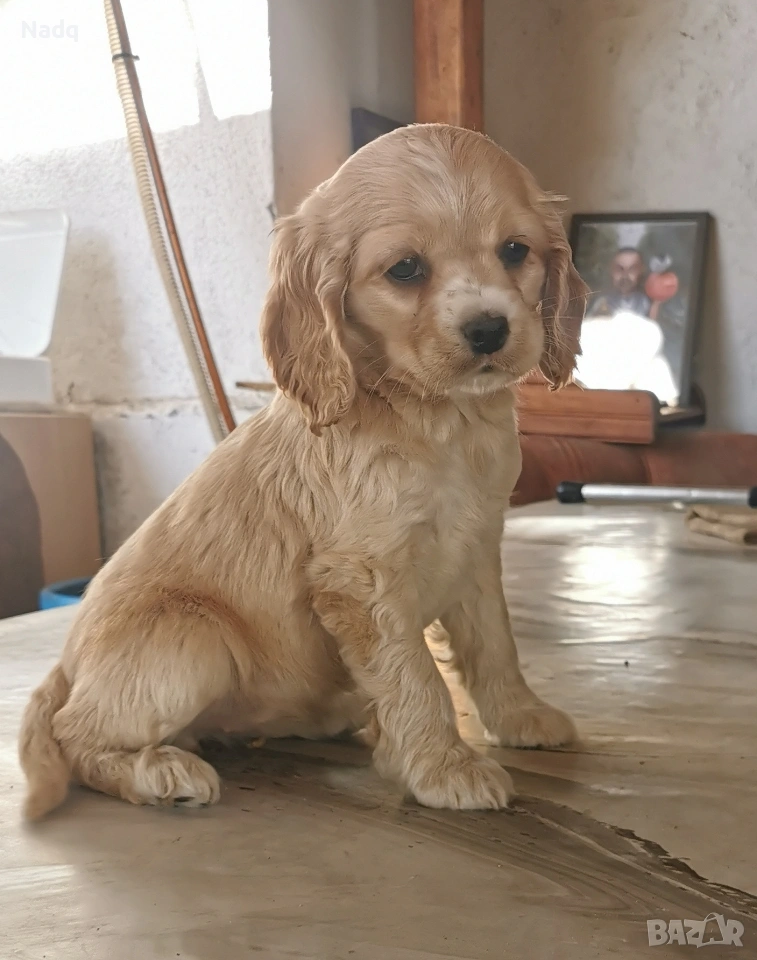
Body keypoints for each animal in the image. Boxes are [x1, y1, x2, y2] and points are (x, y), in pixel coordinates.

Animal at [19, 124, 588, 818]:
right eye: (405, 268)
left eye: (514, 250)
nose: (488, 329)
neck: (441, 422)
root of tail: (66, 666)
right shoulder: (359, 580)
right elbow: (417, 676)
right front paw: (444, 766)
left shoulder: (476, 549)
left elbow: (494, 644)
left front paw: (520, 717)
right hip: (194, 639)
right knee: (74, 734)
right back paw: (162, 773)